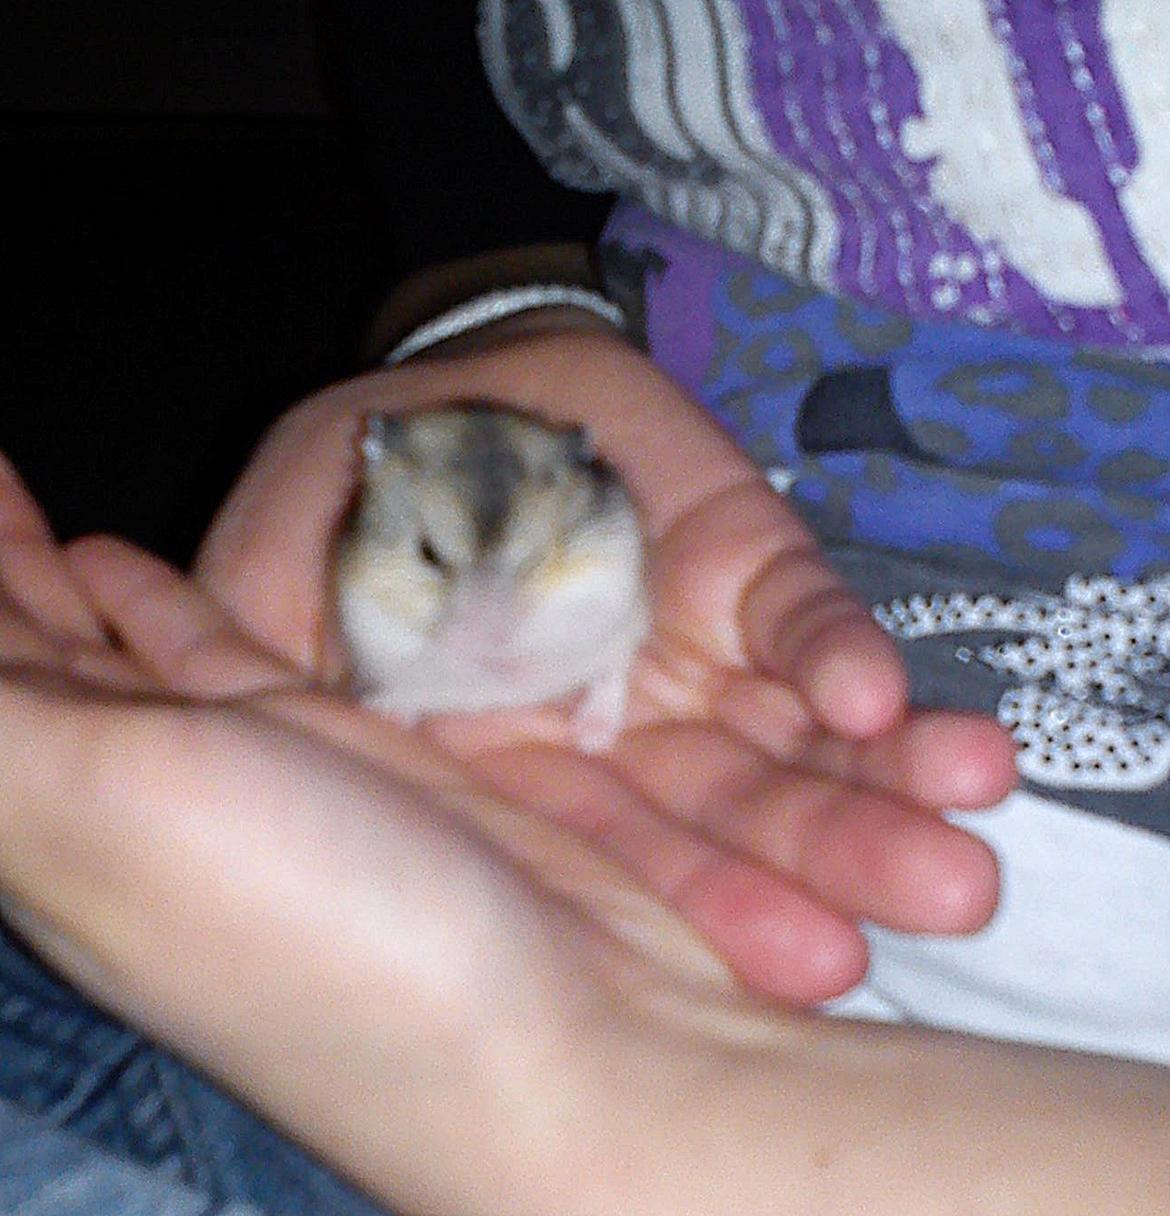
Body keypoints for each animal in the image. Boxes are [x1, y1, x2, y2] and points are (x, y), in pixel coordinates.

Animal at [333, 402, 650, 752]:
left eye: (537, 559)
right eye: (429, 554)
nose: (491, 642)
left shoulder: (600, 584)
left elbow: (553, 632)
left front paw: (514, 667)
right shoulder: (371, 614)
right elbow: (430, 648)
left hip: (624, 633)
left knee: (610, 674)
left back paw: (593, 737)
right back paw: (388, 712)